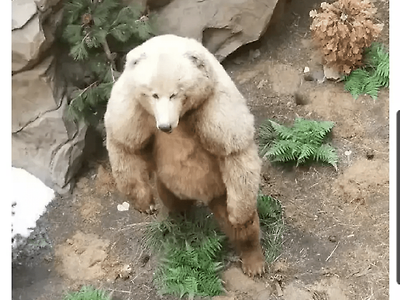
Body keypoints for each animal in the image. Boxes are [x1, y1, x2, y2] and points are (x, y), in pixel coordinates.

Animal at [103, 34, 266, 276]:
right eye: (153, 94)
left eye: (175, 93)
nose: (165, 126)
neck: (182, 117)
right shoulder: (133, 107)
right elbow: (124, 144)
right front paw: (145, 204)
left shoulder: (213, 105)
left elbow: (234, 151)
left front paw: (240, 219)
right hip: (168, 182)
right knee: (172, 201)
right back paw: (176, 222)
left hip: (221, 189)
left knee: (240, 224)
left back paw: (253, 260)